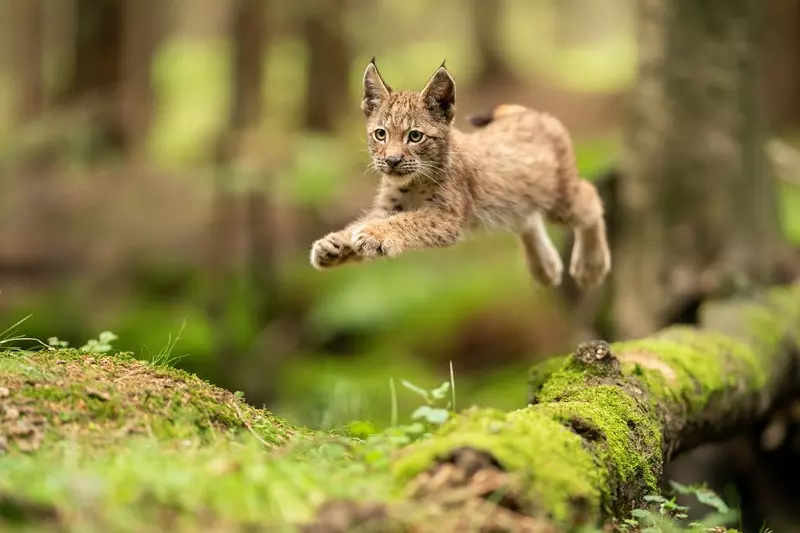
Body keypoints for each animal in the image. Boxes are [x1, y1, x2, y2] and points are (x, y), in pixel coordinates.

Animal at [310, 58, 608, 288]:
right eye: (380, 134)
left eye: (415, 136)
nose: (392, 161)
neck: (413, 181)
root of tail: (532, 113)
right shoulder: (388, 206)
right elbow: (366, 221)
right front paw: (335, 244)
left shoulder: (447, 218)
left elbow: (407, 221)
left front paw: (374, 234)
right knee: (527, 218)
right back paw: (544, 266)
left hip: (560, 200)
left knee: (590, 196)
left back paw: (591, 264)